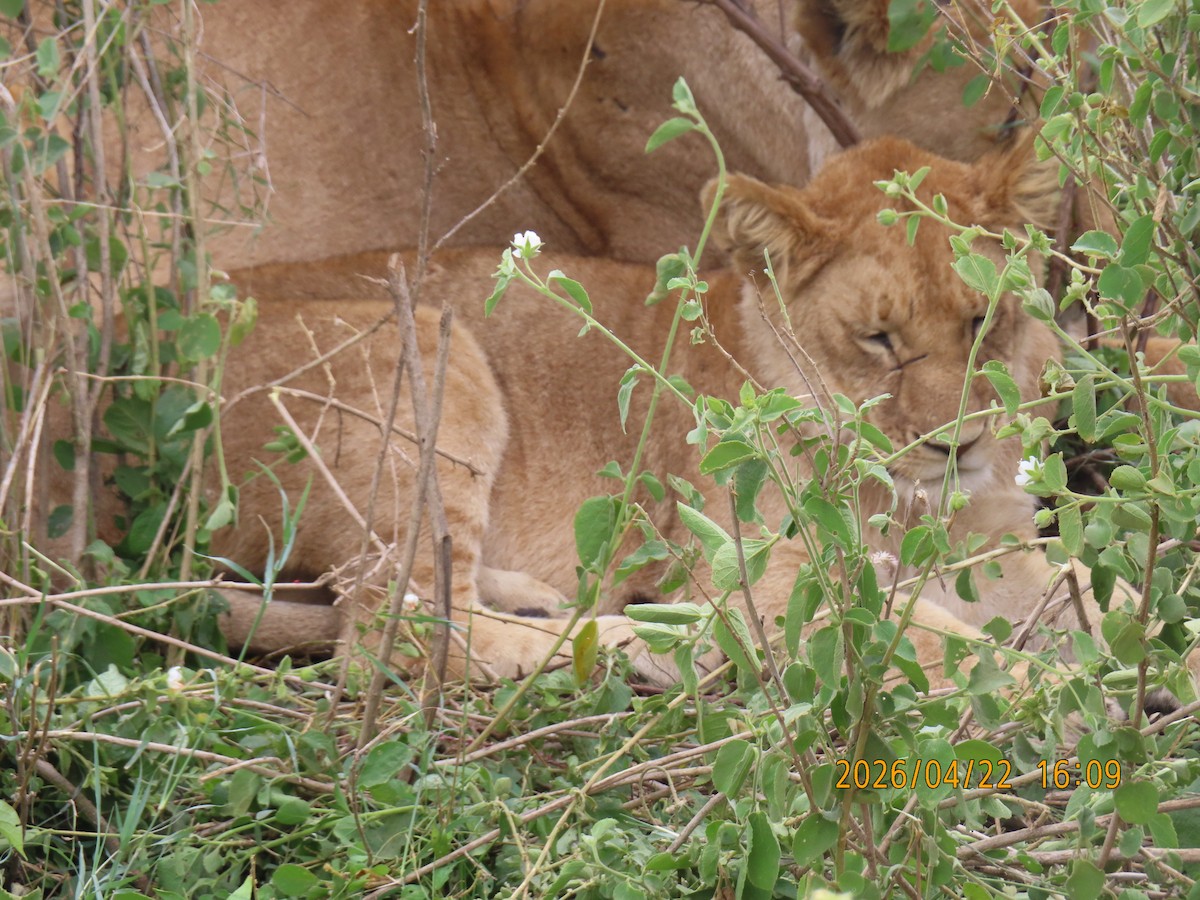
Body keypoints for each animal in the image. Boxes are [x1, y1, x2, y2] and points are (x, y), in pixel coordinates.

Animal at [210, 135, 1120, 690]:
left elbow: (1079, 586)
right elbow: (938, 642)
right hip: (434, 354)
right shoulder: (770, 572)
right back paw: (649, 643)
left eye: (982, 320)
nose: (957, 446)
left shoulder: (988, 543)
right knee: (393, 634)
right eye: (878, 339)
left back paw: (549, 602)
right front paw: (1063, 699)